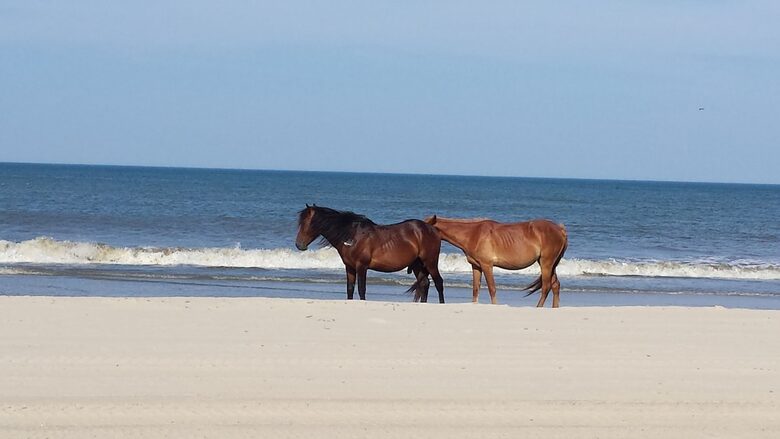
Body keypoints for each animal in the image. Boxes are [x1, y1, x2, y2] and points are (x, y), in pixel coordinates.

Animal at [296, 205, 445, 303]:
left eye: (307, 223)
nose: (299, 244)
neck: (351, 236)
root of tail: (432, 228)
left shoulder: (361, 266)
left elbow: (361, 289)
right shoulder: (349, 267)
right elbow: (350, 289)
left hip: (430, 262)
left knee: (438, 282)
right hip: (417, 264)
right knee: (424, 283)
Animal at [425, 216, 568, 307]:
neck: (473, 234)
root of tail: (560, 229)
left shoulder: (487, 265)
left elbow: (492, 289)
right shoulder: (476, 266)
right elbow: (475, 290)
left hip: (546, 263)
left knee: (546, 287)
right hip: (550, 265)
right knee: (555, 285)